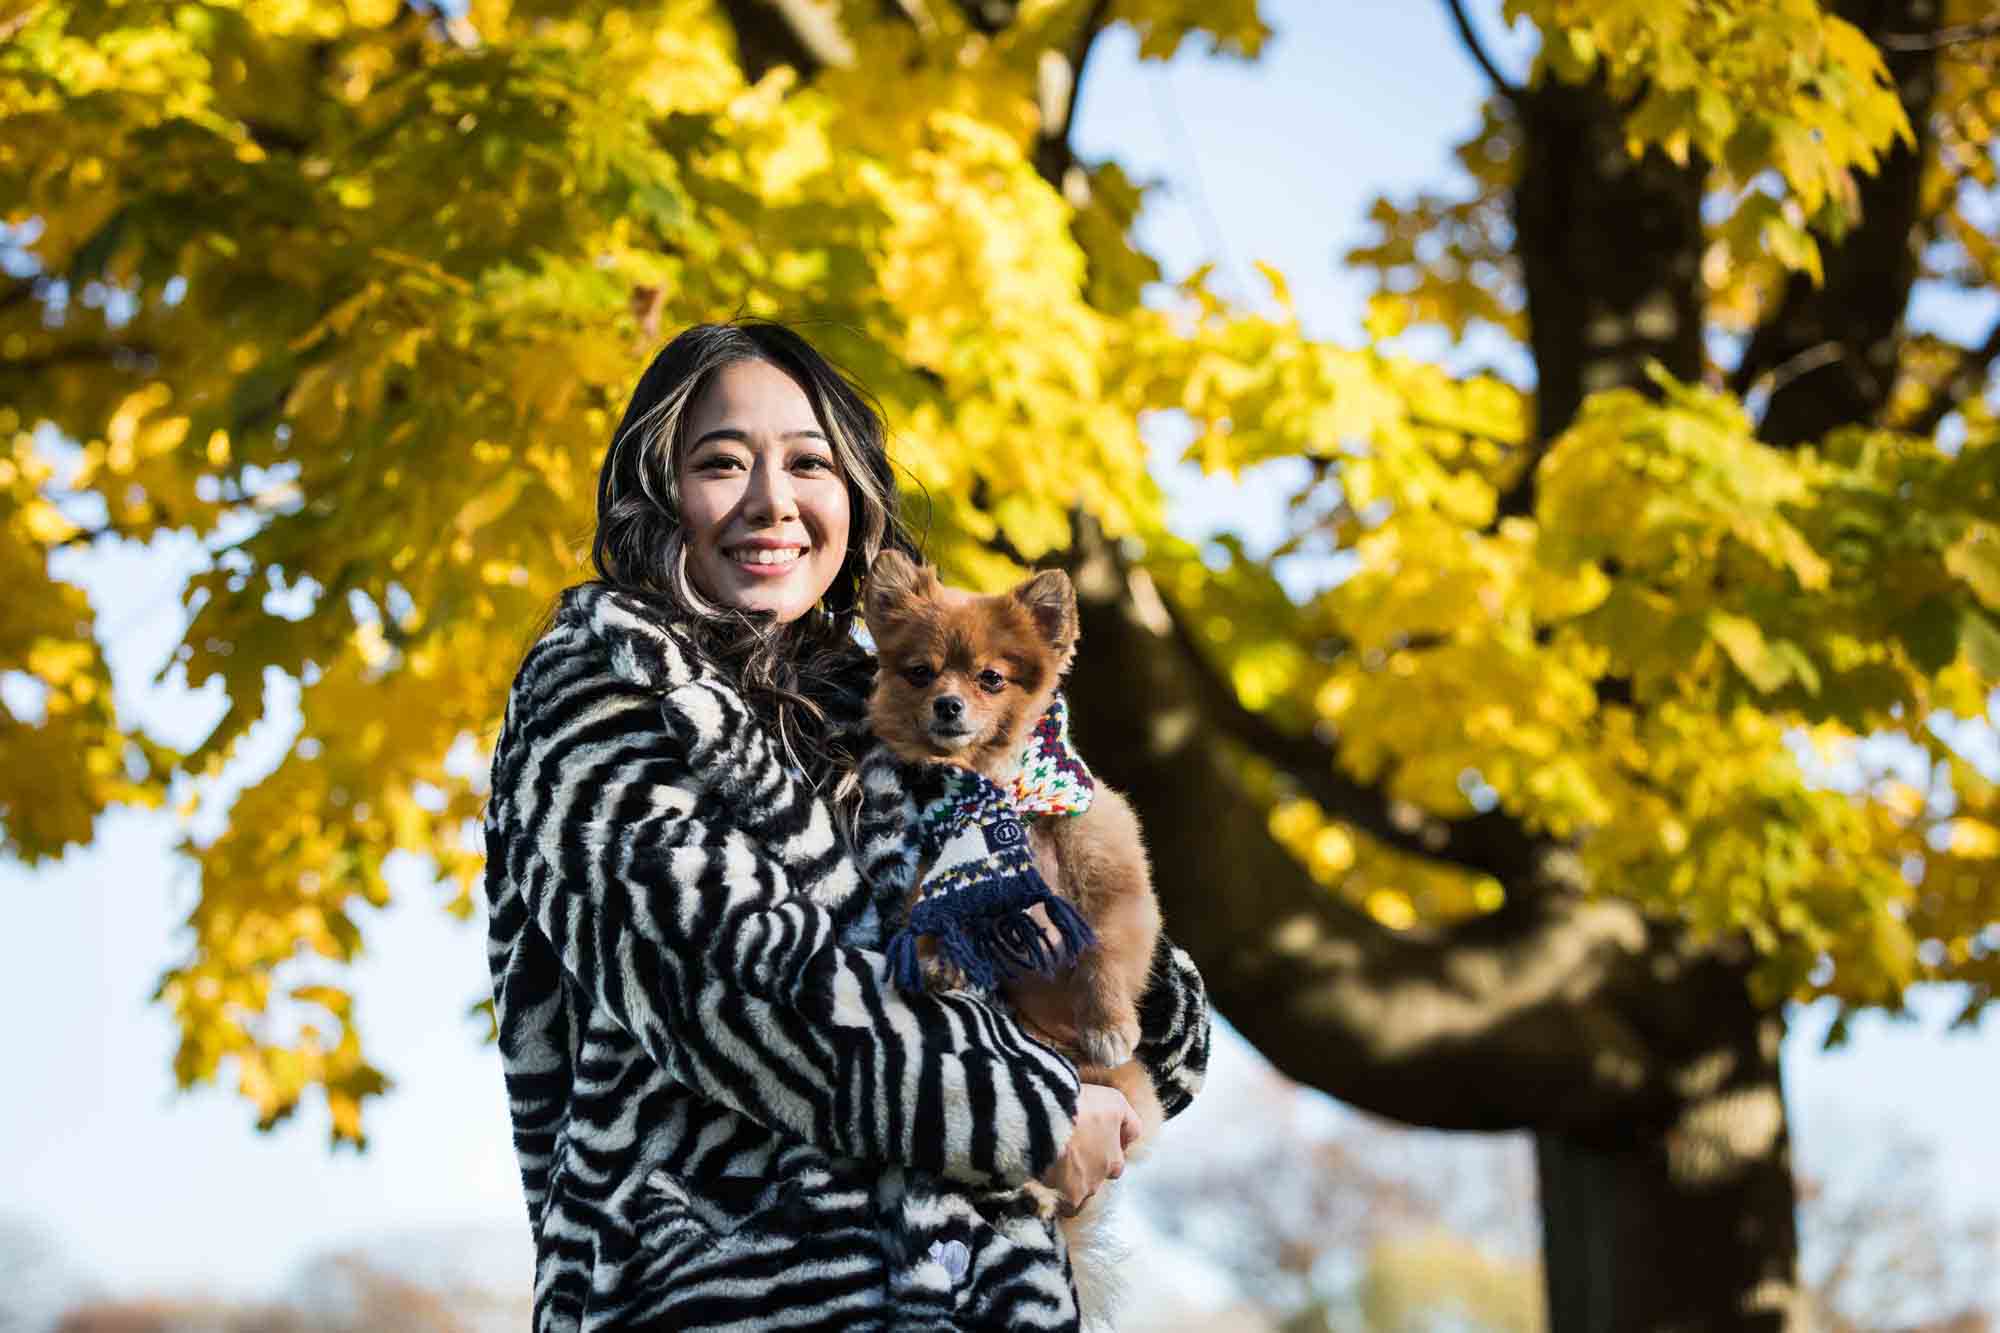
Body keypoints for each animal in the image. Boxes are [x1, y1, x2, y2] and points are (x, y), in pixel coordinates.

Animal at [864, 548, 1168, 1304]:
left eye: (990, 678)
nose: (947, 704)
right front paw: (938, 955)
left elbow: (1102, 952)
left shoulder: (1109, 872)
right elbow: (933, 906)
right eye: (921, 671)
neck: (998, 788)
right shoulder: (940, 861)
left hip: (1124, 1089)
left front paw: (1108, 1018)